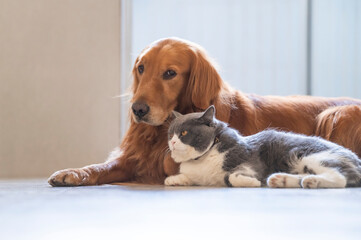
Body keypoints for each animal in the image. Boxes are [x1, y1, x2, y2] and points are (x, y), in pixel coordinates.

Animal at [165, 106, 360, 188]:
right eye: (170, 133)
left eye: (183, 133)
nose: (172, 142)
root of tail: (357, 159)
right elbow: (188, 177)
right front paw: (174, 179)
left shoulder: (250, 163)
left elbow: (231, 176)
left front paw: (252, 182)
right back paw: (280, 180)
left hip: (312, 156)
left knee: (341, 177)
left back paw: (312, 182)